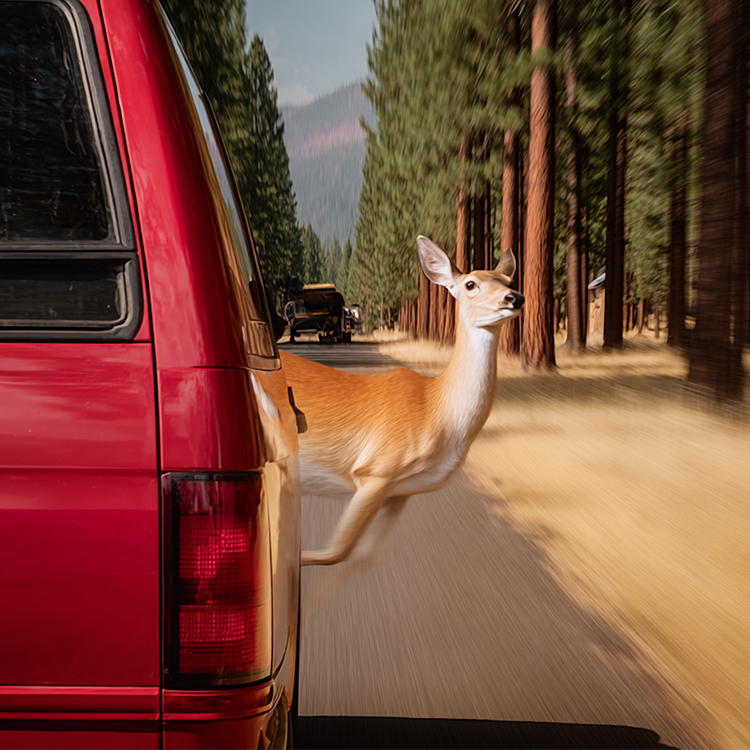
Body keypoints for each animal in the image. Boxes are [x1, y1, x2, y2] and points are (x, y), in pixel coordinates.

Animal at [280, 236, 524, 566]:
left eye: (509, 280)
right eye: (471, 284)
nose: (515, 298)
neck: (435, 411)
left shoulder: (399, 491)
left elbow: (362, 555)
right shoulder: (376, 469)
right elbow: (333, 553)